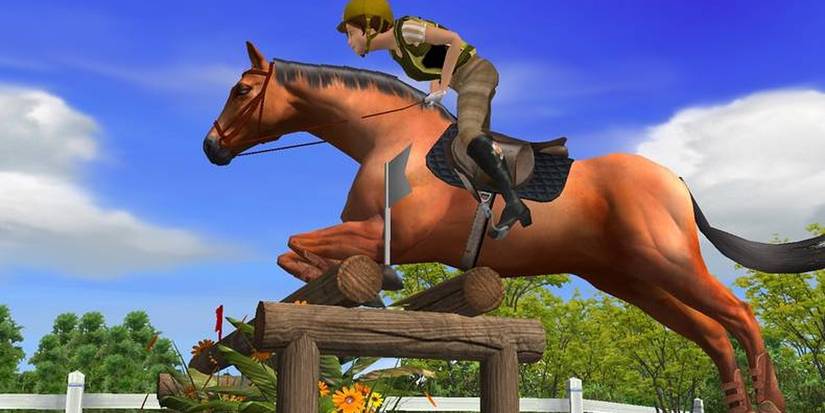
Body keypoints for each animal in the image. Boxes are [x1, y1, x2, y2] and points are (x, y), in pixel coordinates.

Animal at [203, 42, 825, 413]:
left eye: (241, 90)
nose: (211, 148)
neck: (388, 139)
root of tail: (672, 177)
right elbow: (296, 255)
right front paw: (373, 294)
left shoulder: (389, 236)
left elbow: (299, 247)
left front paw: (382, 288)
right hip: (632, 280)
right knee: (715, 334)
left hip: (667, 262)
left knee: (740, 316)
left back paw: (770, 402)